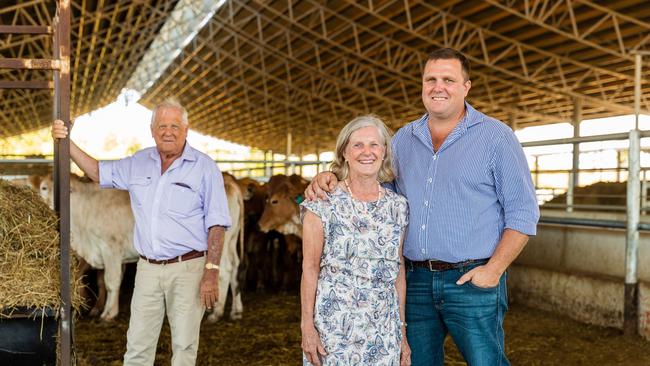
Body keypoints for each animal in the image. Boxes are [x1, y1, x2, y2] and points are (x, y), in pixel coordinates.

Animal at [38, 174, 138, 320]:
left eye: (68, 191)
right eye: (43, 188)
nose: (50, 205)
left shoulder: (111, 247)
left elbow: (111, 281)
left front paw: (109, 313)